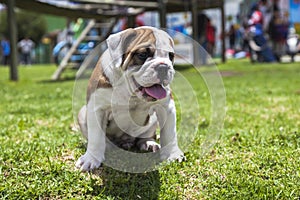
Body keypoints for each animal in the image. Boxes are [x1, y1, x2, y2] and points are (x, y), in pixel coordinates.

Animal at [75, 25, 183, 171]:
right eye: (142, 54)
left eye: (171, 56)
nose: (163, 67)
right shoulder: (97, 108)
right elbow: (96, 137)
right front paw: (91, 158)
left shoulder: (167, 107)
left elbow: (170, 133)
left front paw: (173, 154)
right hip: (82, 113)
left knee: (146, 136)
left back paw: (148, 143)